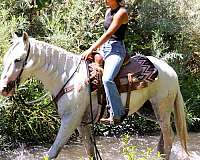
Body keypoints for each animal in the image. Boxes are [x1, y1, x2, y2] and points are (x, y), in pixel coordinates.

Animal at [0, 31, 188, 159]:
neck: (66, 76)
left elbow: (52, 152)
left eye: (17, 59)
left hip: (161, 108)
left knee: (168, 137)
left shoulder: (70, 120)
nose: (4, 88)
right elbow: (90, 151)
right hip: (148, 110)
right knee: (167, 134)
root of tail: (170, 70)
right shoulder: (82, 123)